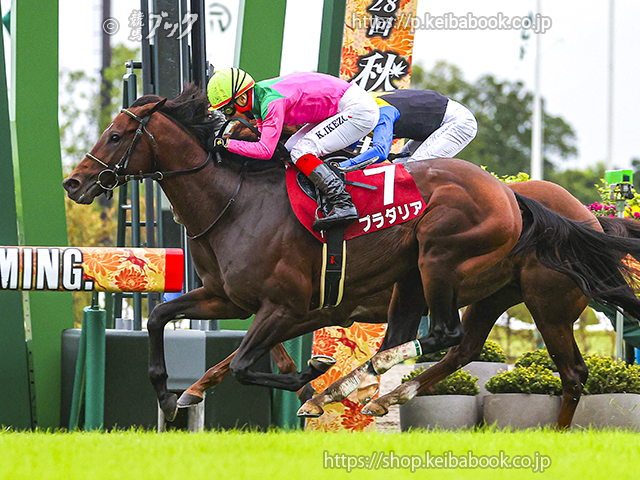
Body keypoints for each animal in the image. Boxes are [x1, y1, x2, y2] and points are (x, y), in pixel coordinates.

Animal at [62, 85, 640, 425]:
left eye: (116, 134)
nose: (75, 183)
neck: (236, 203)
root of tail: (511, 196)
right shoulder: (230, 298)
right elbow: (163, 318)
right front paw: (173, 395)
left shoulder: (288, 305)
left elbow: (247, 361)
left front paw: (309, 379)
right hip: (469, 289)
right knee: (460, 345)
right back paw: (375, 390)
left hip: (472, 271)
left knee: (530, 361)